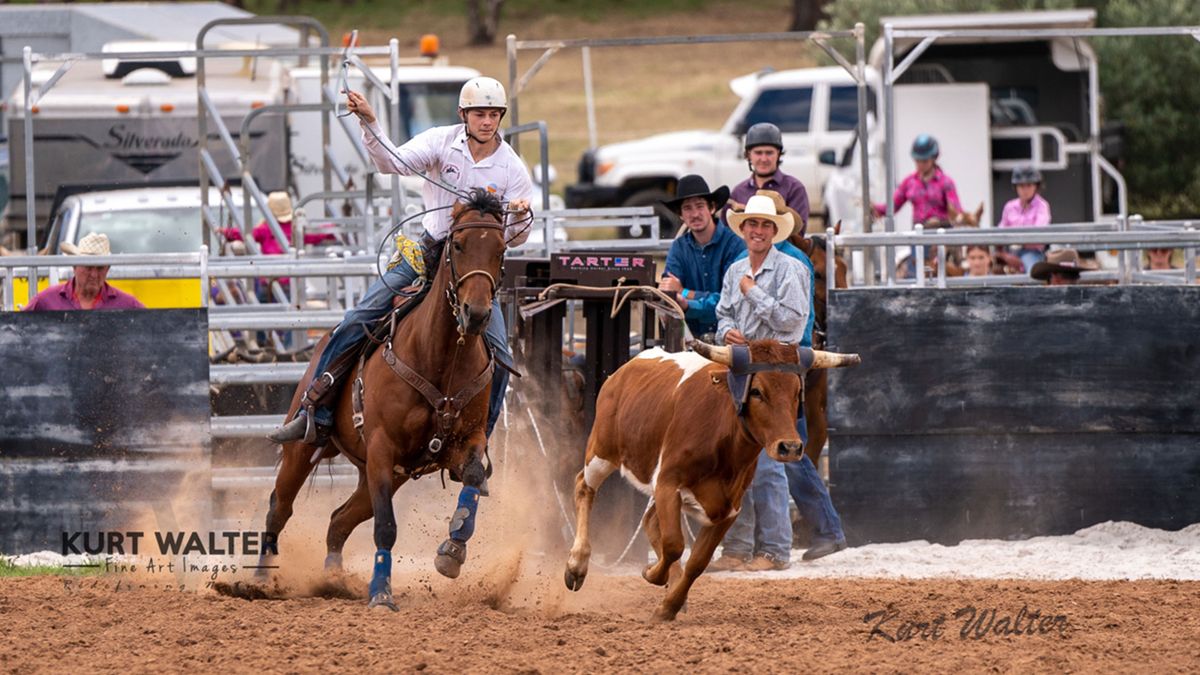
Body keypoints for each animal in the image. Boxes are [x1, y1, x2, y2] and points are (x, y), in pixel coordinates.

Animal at [260, 186, 508, 607]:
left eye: (501, 250)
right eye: (458, 245)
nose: (476, 314)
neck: (441, 356)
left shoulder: (466, 440)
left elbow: (473, 476)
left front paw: (453, 549)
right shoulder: (381, 446)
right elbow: (386, 527)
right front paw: (381, 593)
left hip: (387, 475)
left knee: (339, 520)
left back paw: (334, 579)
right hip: (309, 450)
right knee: (280, 507)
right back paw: (261, 580)